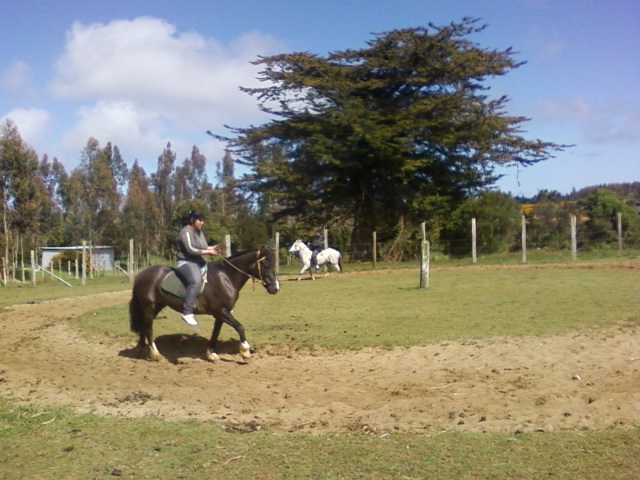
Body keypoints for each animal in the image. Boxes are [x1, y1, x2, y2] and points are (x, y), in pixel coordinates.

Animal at [129, 246, 280, 362]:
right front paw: (245, 351)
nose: (275, 288)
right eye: (266, 265)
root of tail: (141, 274)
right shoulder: (221, 311)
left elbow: (215, 333)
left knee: (144, 326)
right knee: (148, 329)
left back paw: (140, 349)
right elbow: (239, 327)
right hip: (149, 306)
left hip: (156, 306)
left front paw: (211, 354)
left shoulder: (221, 314)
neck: (226, 277)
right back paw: (156, 354)